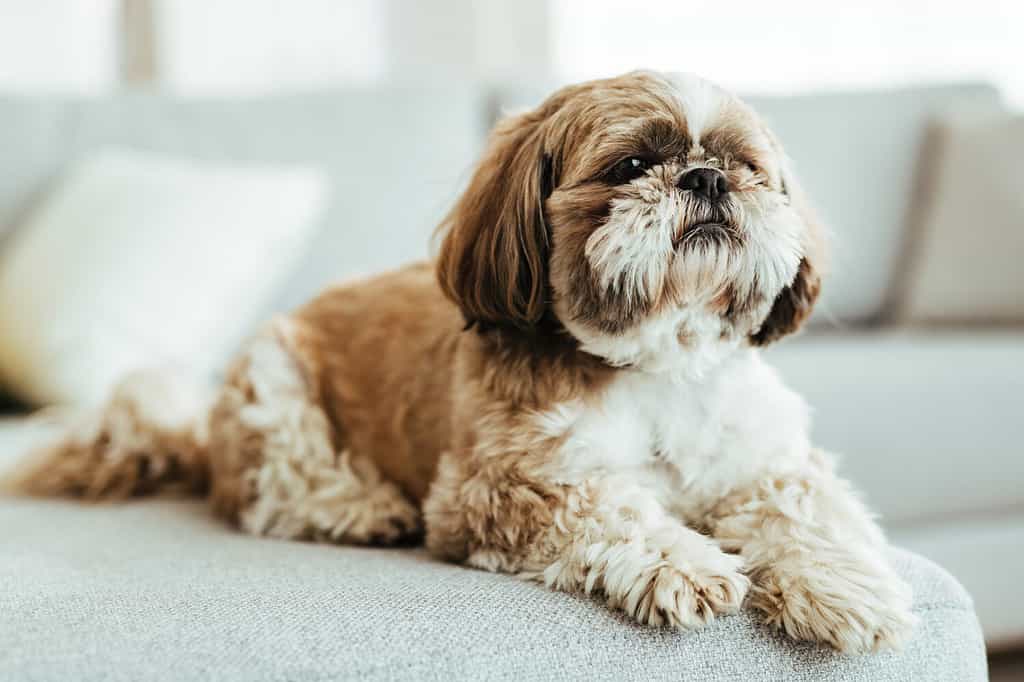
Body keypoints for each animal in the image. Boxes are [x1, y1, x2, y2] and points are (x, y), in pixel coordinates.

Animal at [4, 71, 917, 651]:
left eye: (747, 167)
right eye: (630, 165)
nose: (705, 178)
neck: (656, 365)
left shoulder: (768, 461)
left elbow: (805, 510)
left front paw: (847, 586)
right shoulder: (497, 489)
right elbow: (610, 505)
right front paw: (682, 561)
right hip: (273, 378)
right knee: (272, 493)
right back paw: (360, 505)